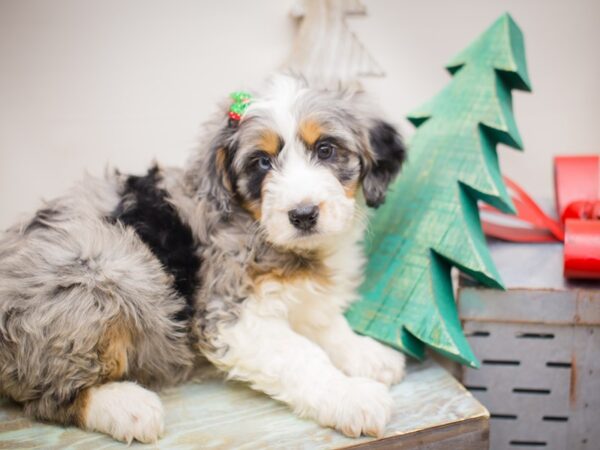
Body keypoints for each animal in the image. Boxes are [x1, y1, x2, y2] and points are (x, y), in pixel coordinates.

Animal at [0, 74, 406, 442]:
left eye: (326, 150)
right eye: (261, 163)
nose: (303, 214)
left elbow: (326, 323)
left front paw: (367, 354)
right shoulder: (230, 315)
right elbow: (303, 356)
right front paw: (352, 396)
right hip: (111, 268)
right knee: (47, 397)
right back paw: (126, 406)